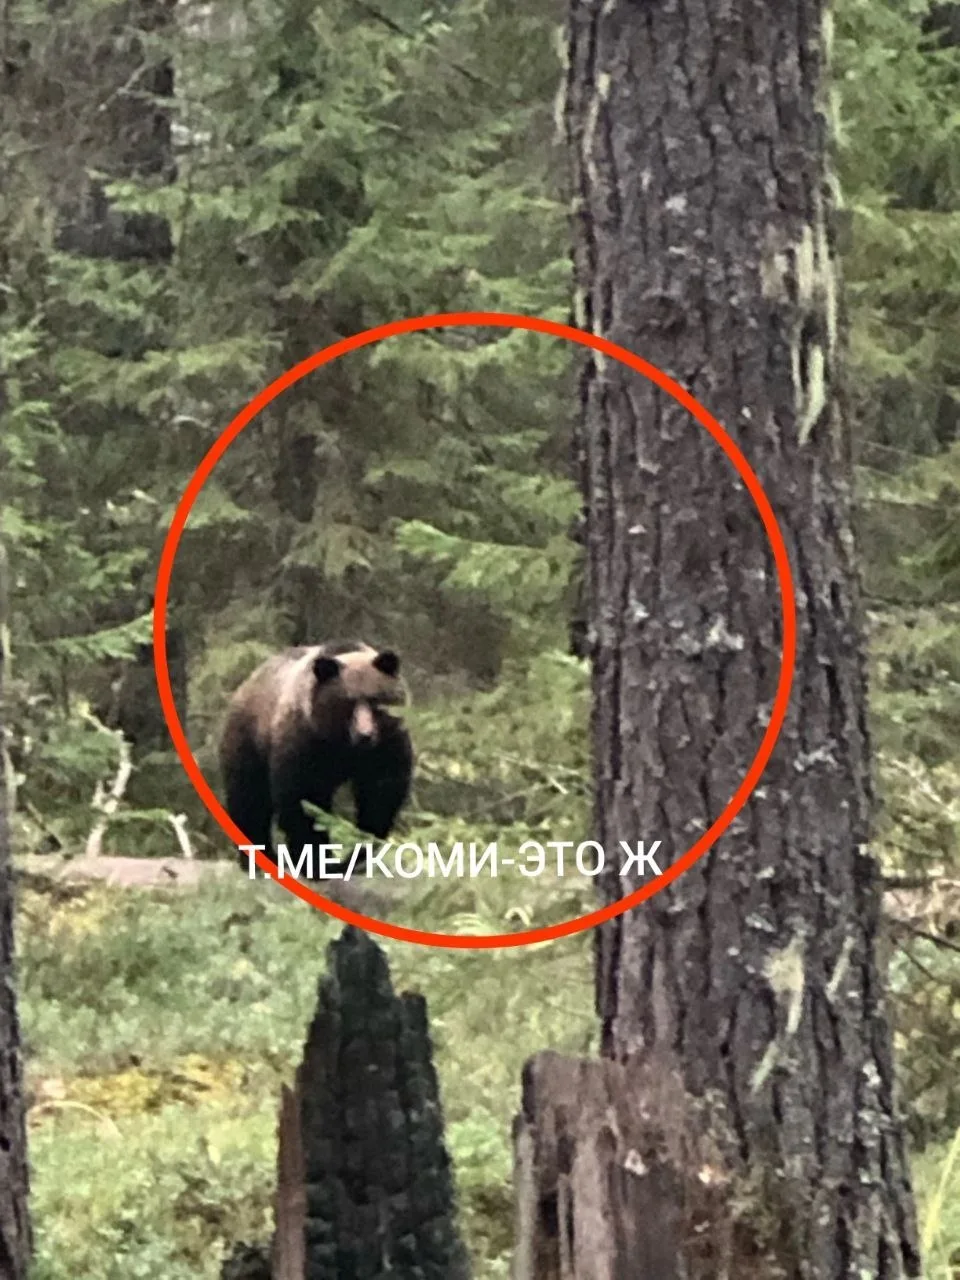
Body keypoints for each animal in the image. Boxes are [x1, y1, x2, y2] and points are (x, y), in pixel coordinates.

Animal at [218, 641, 414, 877]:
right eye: (348, 702)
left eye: (375, 699)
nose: (365, 734)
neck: (345, 747)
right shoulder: (307, 742)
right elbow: (304, 798)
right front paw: (315, 861)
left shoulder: (386, 745)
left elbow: (381, 793)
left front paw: (358, 854)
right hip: (248, 741)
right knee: (249, 797)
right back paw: (260, 859)